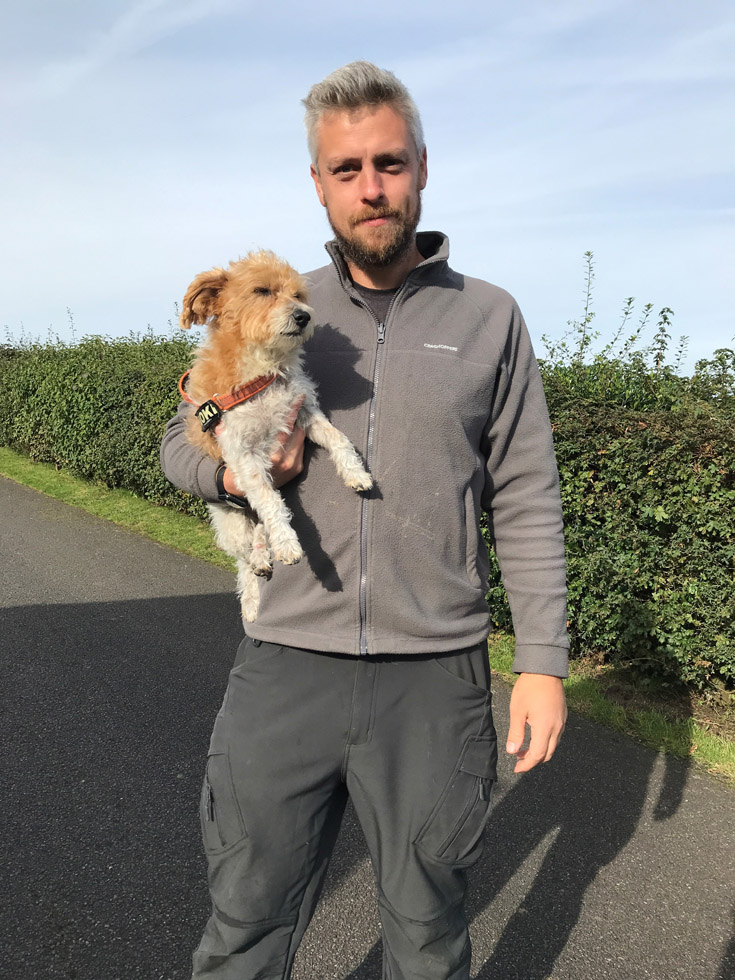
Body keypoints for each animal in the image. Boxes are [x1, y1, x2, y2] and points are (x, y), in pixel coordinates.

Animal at [179, 251, 374, 620]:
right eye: (261, 290)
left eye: (297, 294)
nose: (303, 316)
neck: (264, 370)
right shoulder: (243, 453)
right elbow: (271, 500)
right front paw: (287, 542)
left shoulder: (305, 412)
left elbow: (338, 438)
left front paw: (356, 473)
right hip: (231, 523)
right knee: (244, 559)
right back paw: (253, 596)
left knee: (258, 531)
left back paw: (262, 557)